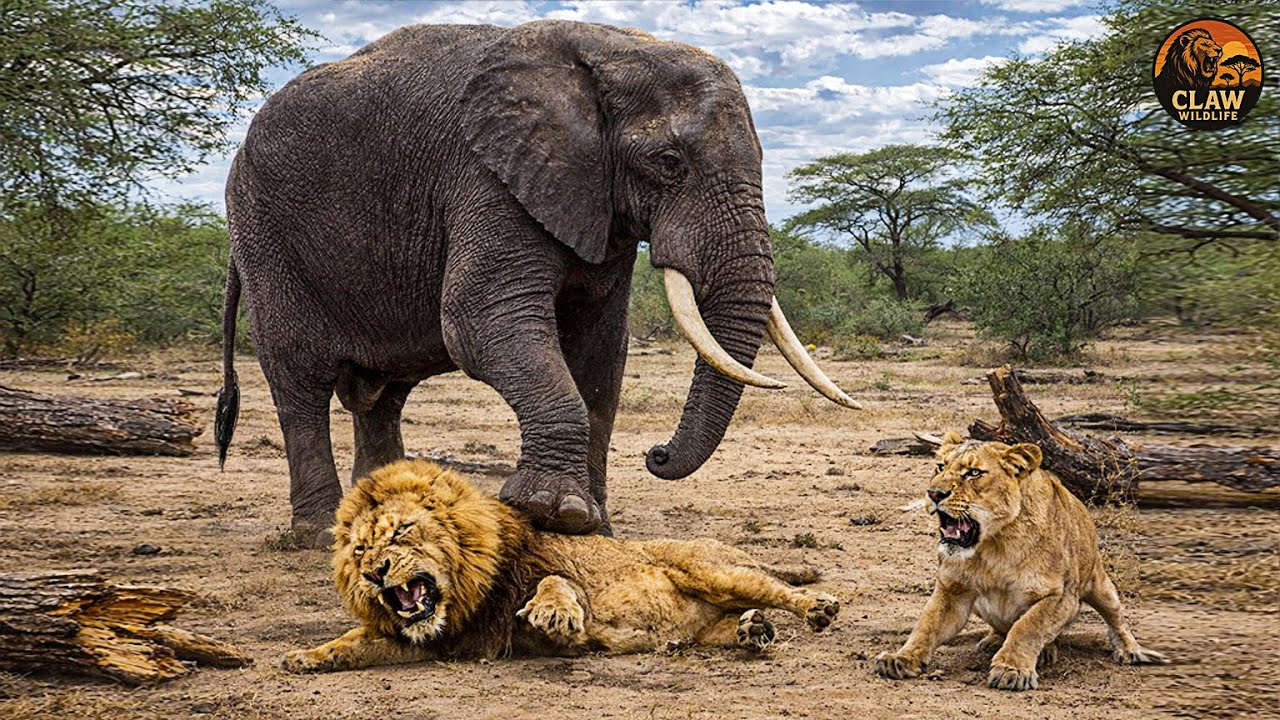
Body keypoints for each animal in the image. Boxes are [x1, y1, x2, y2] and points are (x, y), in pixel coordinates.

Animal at [215, 20, 857, 546]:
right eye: (669, 162)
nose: (657, 454)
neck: (610, 48)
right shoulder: (486, 174)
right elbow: (480, 321)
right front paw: (554, 511)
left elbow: (600, 350)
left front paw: (596, 526)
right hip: (262, 229)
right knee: (298, 377)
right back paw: (319, 534)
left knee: (386, 393)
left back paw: (383, 522)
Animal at [281, 459, 840, 672]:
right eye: (359, 551)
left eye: (401, 533)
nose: (376, 572)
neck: (465, 596)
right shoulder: (437, 639)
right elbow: (356, 643)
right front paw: (307, 656)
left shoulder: (552, 570)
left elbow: (554, 580)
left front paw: (553, 612)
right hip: (709, 626)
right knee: (733, 625)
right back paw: (750, 631)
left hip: (714, 570)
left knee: (775, 588)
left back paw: (817, 607)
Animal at [872, 432, 1167, 691]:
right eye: (940, 466)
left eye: (974, 473)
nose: (933, 493)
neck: (994, 547)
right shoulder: (952, 589)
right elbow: (927, 625)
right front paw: (901, 658)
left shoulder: (1060, 595)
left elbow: (1028, 627)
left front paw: (1011, 670)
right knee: (1003, 626)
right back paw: (995, 640)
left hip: (1101, 586)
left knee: (1116, 619)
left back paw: (1127, 650)